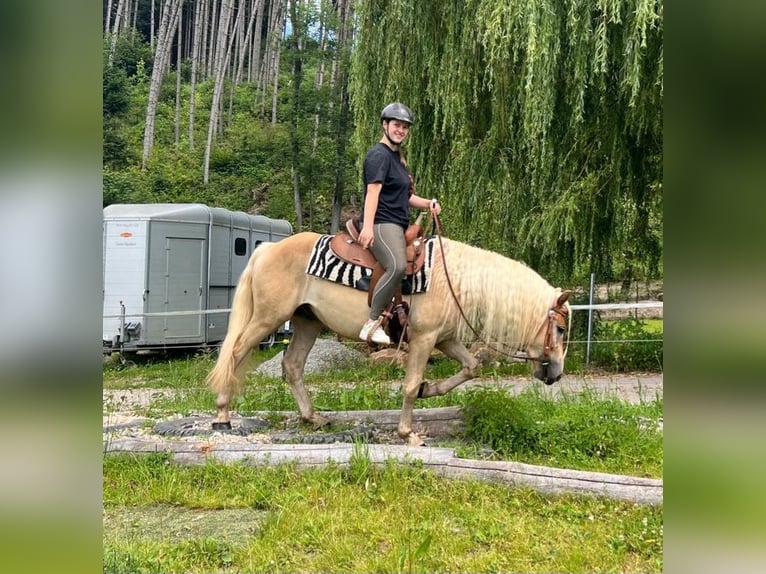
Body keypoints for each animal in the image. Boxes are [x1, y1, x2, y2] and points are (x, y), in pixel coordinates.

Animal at [207, 232, 572, 448]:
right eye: (561, 329)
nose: (555, 374)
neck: (453, 279)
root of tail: (268, 248)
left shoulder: (444, 339)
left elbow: (470, 368)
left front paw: (430, 390)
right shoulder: (424, 338)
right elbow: (410, 385)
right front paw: (407, 432)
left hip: (307, 322)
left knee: (293, 365)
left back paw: (313, 418)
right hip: (267, 318)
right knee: (236, 353)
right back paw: (222, 415)